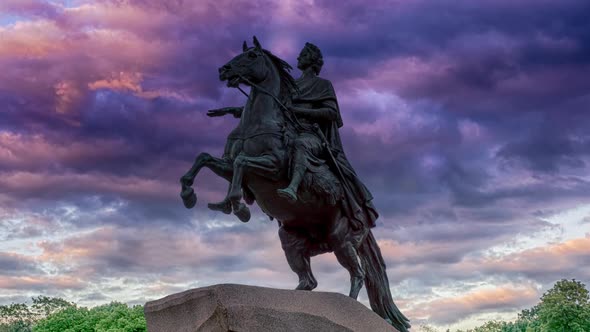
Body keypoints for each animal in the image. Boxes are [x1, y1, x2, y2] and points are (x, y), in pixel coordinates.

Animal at [180, 37, 412, 332]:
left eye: (252, 55)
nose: (223, 70)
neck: (256, 122)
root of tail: (367, 222)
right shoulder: (227, 166)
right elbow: (204, 159)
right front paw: (191, 194)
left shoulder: (271, 167)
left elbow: (243, 163)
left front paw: (237, 206)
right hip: (291, 241)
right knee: (309, 281)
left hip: (342, 240)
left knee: (357, 274)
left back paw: (351, 308)